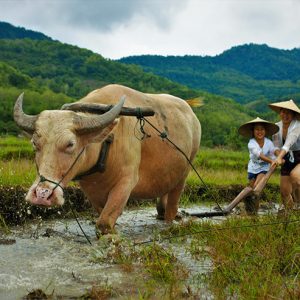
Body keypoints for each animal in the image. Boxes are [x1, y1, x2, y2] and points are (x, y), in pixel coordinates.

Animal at [14, 84, 202, 234]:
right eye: (34, 143)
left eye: (70, 144)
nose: (41, 194)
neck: (106, 144)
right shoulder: (91, 190)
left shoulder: (126, 182)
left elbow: (104, 224)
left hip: (184, 173)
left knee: (172, 205)